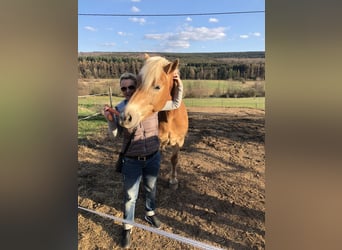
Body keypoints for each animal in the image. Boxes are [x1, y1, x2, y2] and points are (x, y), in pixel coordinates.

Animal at [120, 53, 190, 188]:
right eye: (137, 84)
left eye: (157, 87)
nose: (126, 117)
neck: (170, 117)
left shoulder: (179, 141)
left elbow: (174, 159)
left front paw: (173, 180)